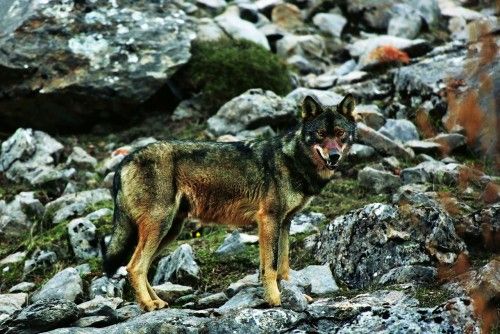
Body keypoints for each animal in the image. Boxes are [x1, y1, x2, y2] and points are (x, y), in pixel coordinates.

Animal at [103, 93, 358, 310]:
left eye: (339, 133)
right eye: (321, 134)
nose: (334, 156)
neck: (293, 161)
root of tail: (124, 161)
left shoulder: (285, 223)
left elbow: (284, 267)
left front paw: (293, 294)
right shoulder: (268, 220)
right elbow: (270, 267)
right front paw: (275, 300)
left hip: (170, 231)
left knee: (143, 268)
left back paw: (156, 302)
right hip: (160, 227)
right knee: (134, 267)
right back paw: (148, 305)